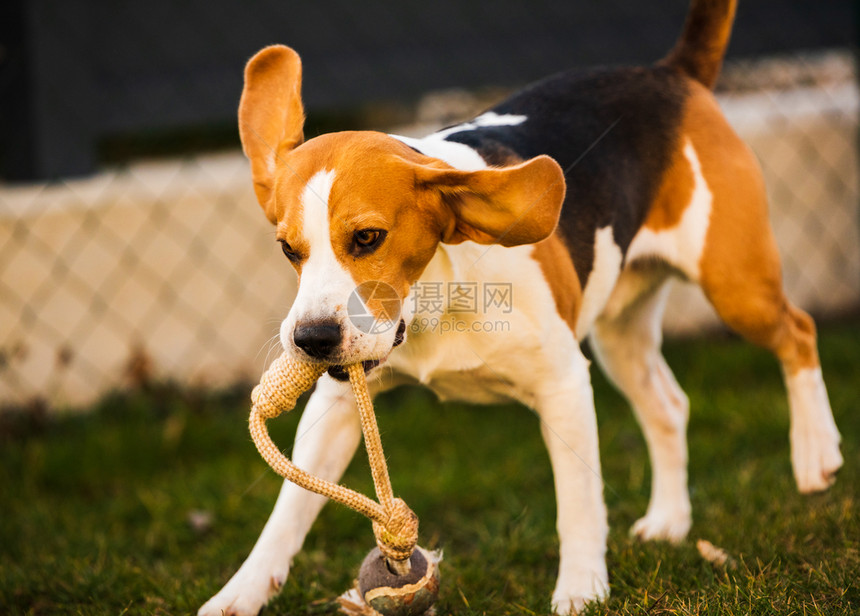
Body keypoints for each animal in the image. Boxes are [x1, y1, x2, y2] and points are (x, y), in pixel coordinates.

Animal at [200, 2, 840, 612]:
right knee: (669, 406)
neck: (436, 303)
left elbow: (577, 505)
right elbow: (289, 510)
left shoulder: (563, 385)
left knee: (799, 331)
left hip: (737, 288)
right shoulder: (336, 405)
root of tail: (670, 73)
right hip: (620, 334)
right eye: (288, 249)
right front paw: (241, 593)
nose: (311, 340)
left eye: (366, 239)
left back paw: (816, 452)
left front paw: (581, 589)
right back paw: (669, 521)